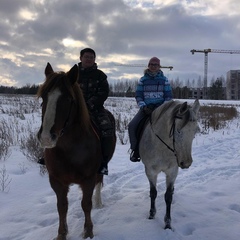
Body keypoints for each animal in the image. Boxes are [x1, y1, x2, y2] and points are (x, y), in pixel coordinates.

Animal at [37, 62, 116, 239]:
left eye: (68, 99)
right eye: (43, 97)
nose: (46, 137)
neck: (69, 149)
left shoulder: (88, 179)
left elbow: (86, 204)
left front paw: (88, 232)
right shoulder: (57, 181)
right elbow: (62, 207)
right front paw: (62, 233)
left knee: (99, 181)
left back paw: (98, 202)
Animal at [140, 99, 200, 229]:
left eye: (195, 131)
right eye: (178, 130)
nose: (186, 162)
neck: (162, 147)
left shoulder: (172, 172)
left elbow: (168, 196)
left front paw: (167, 223)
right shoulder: (150, 172)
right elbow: (153, 193)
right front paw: (151, 215)